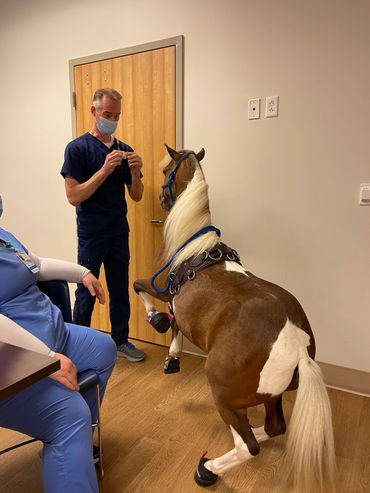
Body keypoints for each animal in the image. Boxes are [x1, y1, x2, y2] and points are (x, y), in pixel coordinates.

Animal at [133, 144, 336, 490]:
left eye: (165, 172)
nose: (159, 197)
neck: (194, 248)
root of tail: (297, 346)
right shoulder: (178, 305)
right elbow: (175, 325)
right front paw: (172, 357)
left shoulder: (164, 290)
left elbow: (138, 288)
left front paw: (156, 322)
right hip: (270, 396)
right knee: (274, 427)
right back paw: (254, 431)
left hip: (224, 395)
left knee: (248, 448)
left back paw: (208, 468)